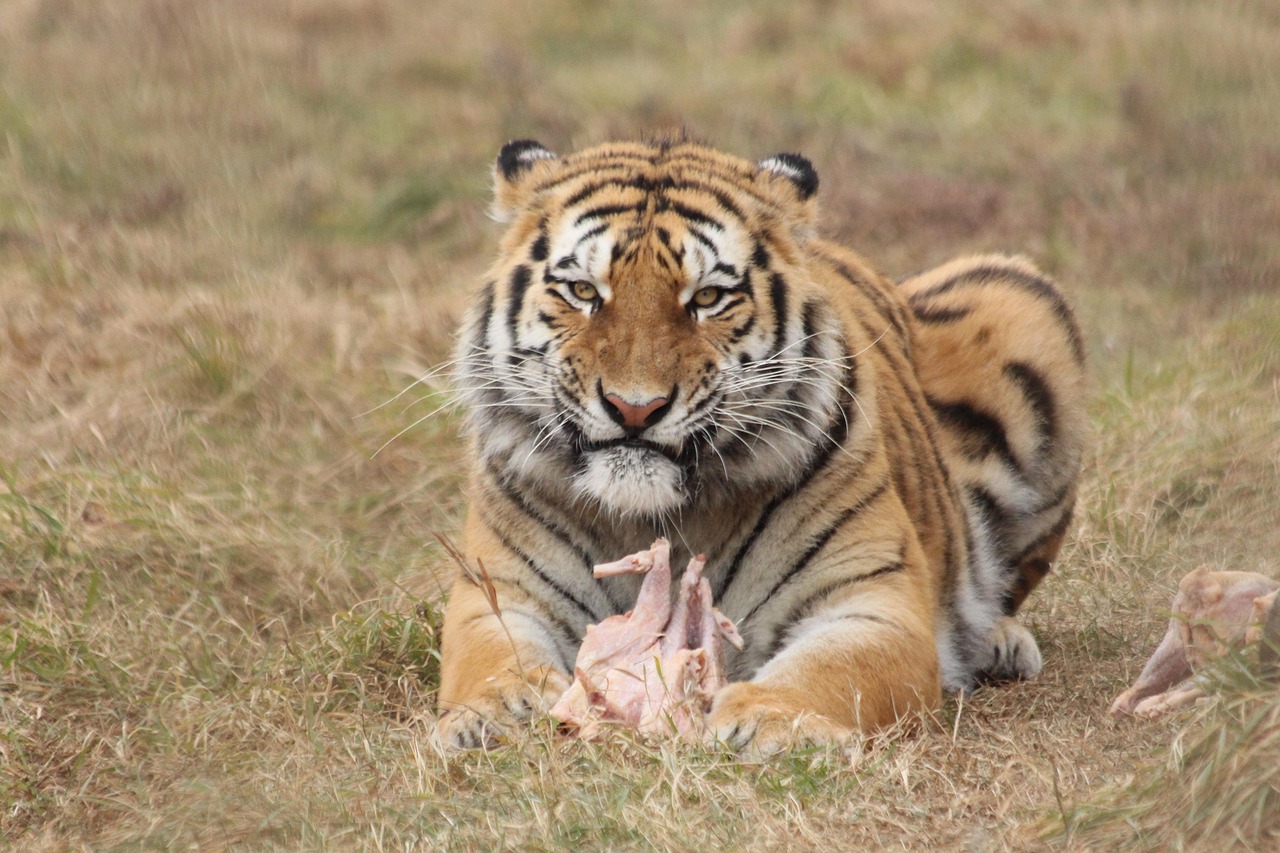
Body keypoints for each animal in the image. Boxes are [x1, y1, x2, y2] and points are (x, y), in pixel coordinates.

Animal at [433, 134, 1086, 754]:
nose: (635, 407)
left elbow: (831, 670)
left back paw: (999, 642)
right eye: (583, 291)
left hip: (1024, 299)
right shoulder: (498, 590)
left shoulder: (874, 602)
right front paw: (493, 715)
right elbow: (490, 659)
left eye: (706, 298)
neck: (656, 519)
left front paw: (772, 720)